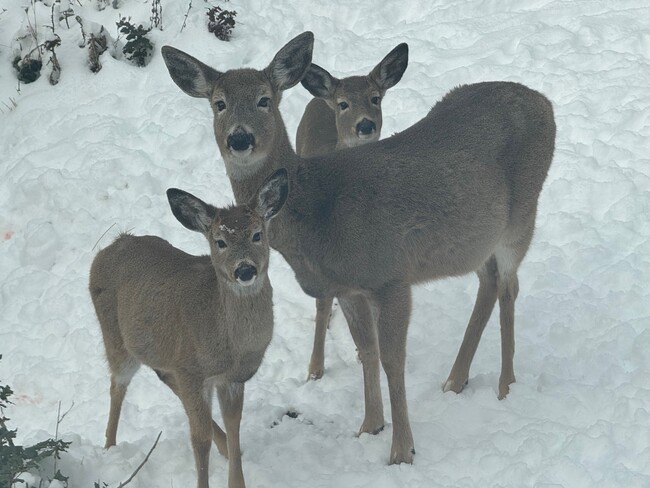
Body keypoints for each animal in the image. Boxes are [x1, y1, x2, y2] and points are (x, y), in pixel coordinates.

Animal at [89, 169, 288, 488]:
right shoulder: (192, 371)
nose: (245, 269)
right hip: (116, 338)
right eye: (220, 241)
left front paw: (236, 475)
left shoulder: (231, 378)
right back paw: (109, 447)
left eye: (258, 234)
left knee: (162, 376)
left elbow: (234, 427)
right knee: (117, 385)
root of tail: (111, 246)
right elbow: (199, 440)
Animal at [294, 43, 408, 382]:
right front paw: (315, 368)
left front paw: (362, 353)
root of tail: (320, 96)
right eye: (344, 104)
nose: (365, 124)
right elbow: (322, 306)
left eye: (376, 97)